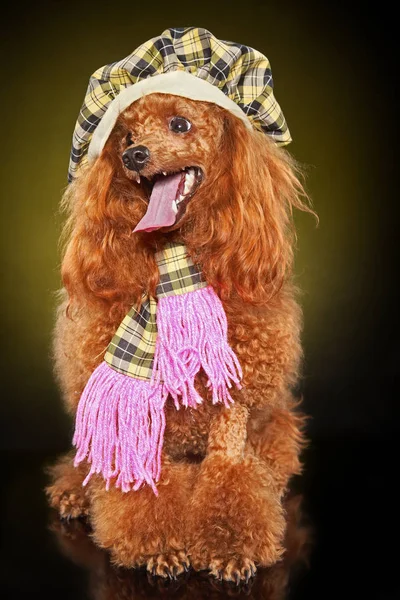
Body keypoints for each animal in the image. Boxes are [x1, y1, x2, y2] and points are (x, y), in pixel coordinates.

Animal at [47, 89, 314, 580]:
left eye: (180, 124)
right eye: (126, 136)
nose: (133, 155)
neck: (175, 261)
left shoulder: (233, 407)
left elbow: (229, 472)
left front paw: (231, 547)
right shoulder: (142, 429)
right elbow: (144, 482)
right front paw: (159, 546)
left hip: (275, 426)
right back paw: (74, 489)